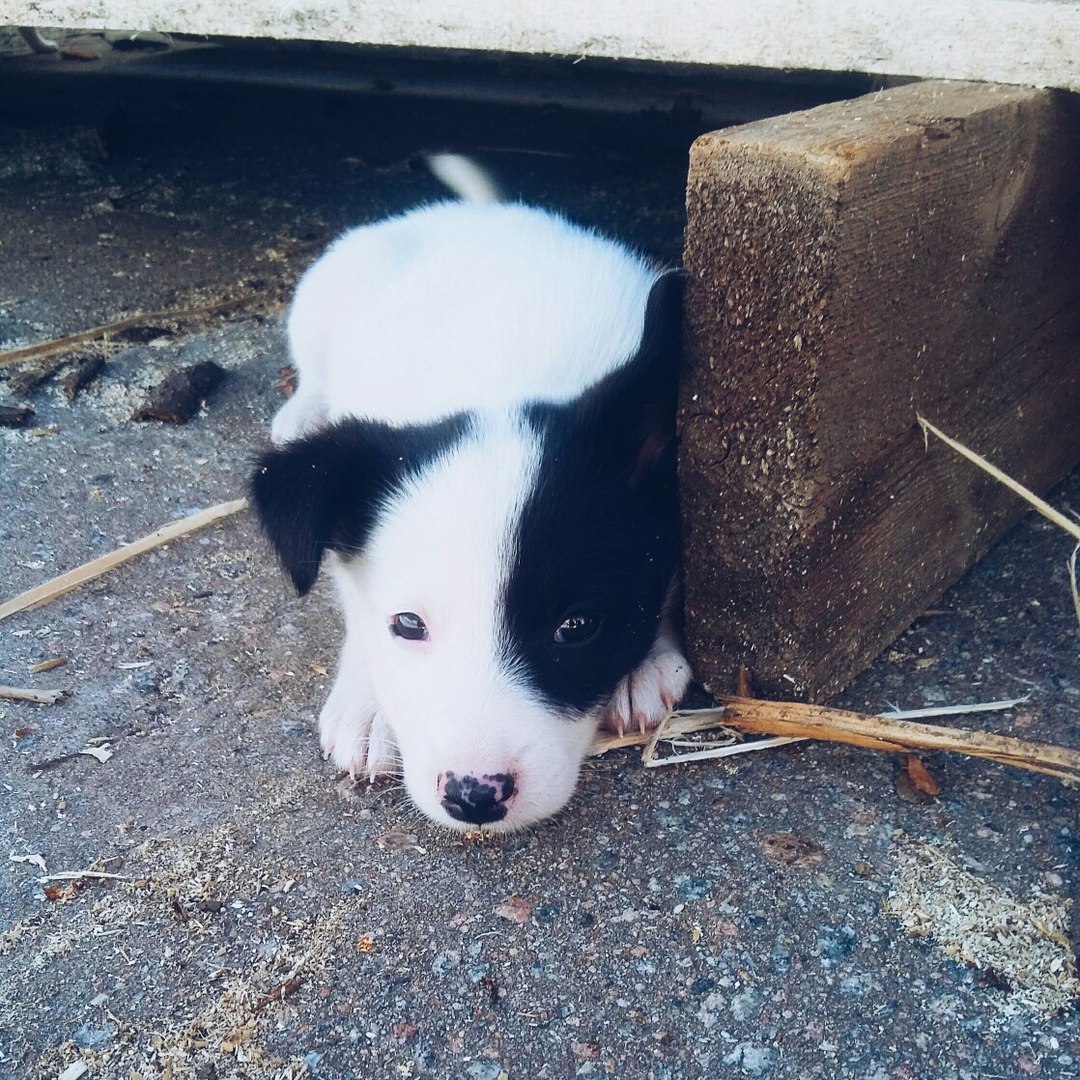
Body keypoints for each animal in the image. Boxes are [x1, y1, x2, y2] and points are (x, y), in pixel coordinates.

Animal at [250, 156, 691, 829]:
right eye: (408, 624)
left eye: (577, 626)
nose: (473, 797)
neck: (505, 378)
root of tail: (478, 213)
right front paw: (369, 703)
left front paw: (643, 664)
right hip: (319, 301)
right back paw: (302, 413)